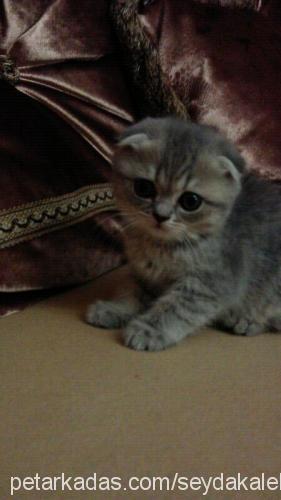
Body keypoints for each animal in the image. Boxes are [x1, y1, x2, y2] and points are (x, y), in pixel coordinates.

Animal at [85, 117, 280, 352]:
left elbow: (176, 308)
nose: (161, 215)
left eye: (190, 201)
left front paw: (149, 330)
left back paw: (247, 320)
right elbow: (131, 293)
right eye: (143, 188)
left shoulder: (210, 284)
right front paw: (114, 309)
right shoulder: (145, 276)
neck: (159, 246)